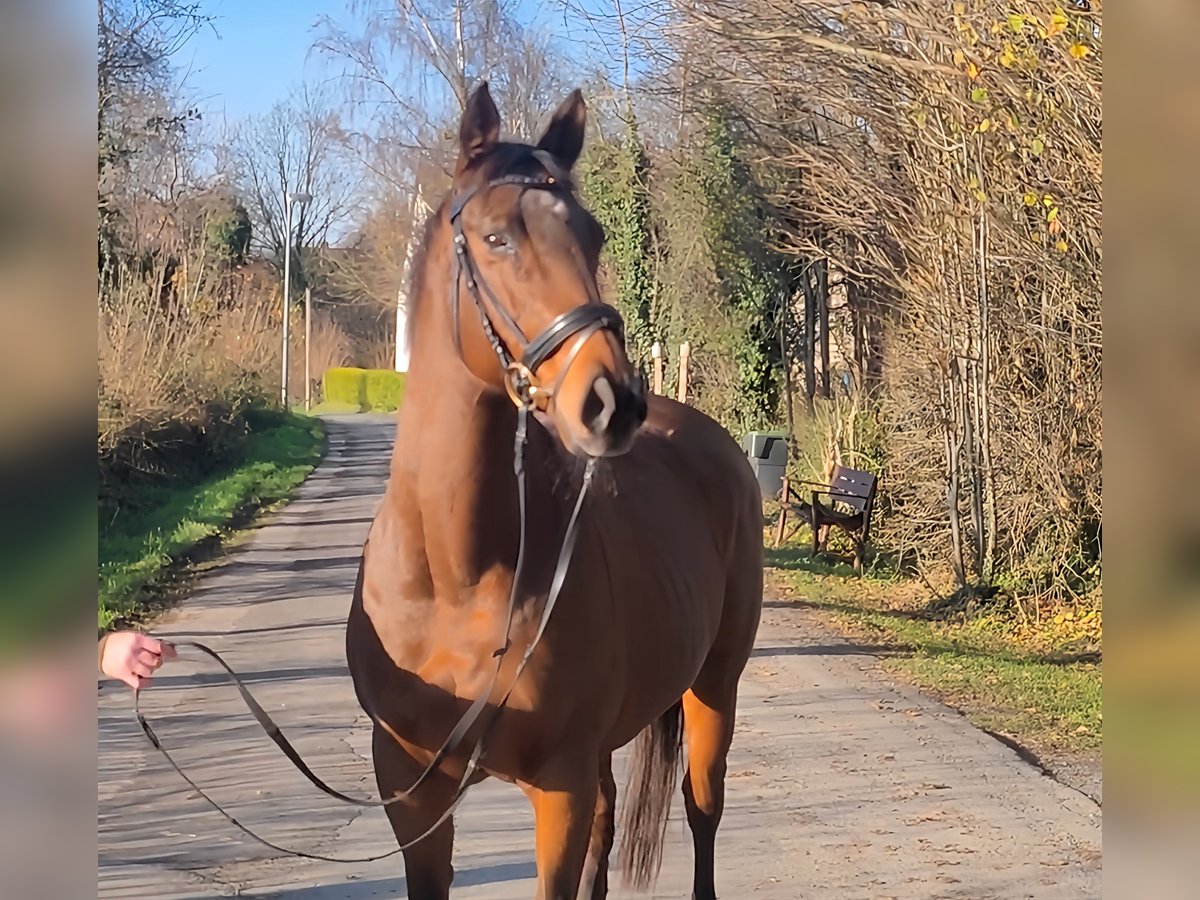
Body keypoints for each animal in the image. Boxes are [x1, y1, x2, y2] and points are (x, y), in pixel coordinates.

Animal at [345, 81, 758, 897]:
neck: (455, 575)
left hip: (714, 690)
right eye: (497, 237)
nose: (612, 401)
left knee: (702, 812)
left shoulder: (556, 788)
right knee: (611, 818)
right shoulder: (409, 793)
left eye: (595, 237)